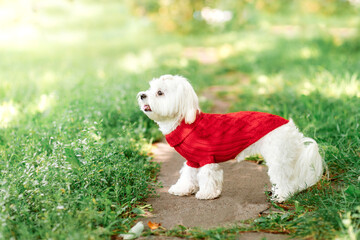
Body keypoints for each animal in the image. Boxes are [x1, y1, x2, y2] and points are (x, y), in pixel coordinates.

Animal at [138, 74, 324, 202]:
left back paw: (282, 196)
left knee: (284, 178)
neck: (185, 122)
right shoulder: (192, 160)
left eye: (160, 92)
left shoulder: (206, 159)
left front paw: (207, 193)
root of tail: (290, 126)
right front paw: (182, 189)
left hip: (278, 157)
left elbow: (207, 176)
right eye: (149, 89)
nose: (141, 95)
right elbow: (188, 175)